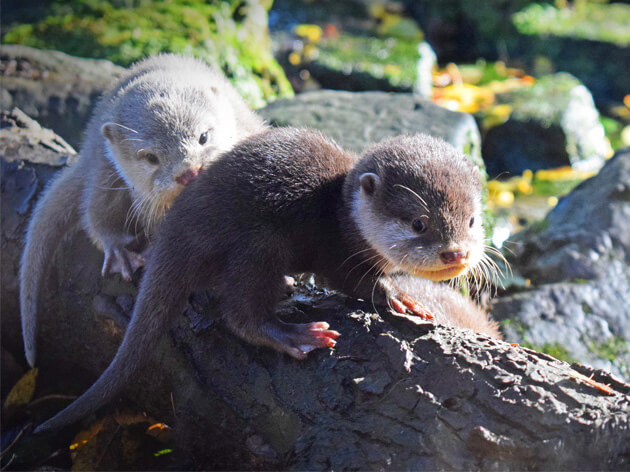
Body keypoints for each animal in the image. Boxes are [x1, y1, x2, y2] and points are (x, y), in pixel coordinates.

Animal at [19, 52, 266, 368]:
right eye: (150, 157)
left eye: (203, 136)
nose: (189, 171)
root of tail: (87, 147)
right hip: (104, 168)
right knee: (95, 211)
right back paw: (121, 253)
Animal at [34, 127, 486, 434]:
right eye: (418, 223)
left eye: (471, 219)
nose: (456, 253)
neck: (343, 212)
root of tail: (175, 233)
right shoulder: (336, 249)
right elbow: (353, 281)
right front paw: (401, 297)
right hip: (260, 243)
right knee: (239, 314)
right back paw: (295, 335)